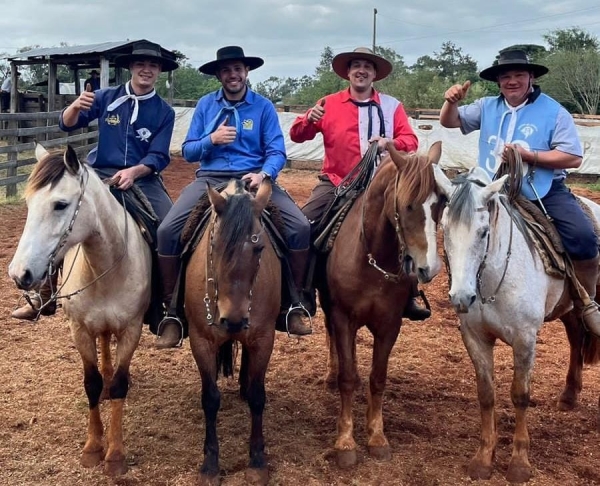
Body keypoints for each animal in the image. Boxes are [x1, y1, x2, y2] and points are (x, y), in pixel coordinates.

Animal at [7, 143, 151, 474]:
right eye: (29, 202)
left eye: (60, 204)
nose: (19, 274)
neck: (107, 267)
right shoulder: (80, 330)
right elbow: (91, 383)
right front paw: (93, 448)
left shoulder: (131, 330)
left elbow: (120, 385)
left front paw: (115, 455)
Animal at [184, 179, 280, 486]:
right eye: (214, 244)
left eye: (259, 248)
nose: (234, 321)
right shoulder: (201, 340)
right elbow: (210, 399)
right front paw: (210, 464)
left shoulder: (263, 339)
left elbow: (258, 396)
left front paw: (257, 461)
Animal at [318, 142, 446, 468]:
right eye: (408, 205)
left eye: (441, 203)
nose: (429, 268)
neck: (373, 257)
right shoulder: (343, 318)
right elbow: (347, 378)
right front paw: (345, 441)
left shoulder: (389, 325)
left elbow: (378, 378)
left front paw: (376, 436)